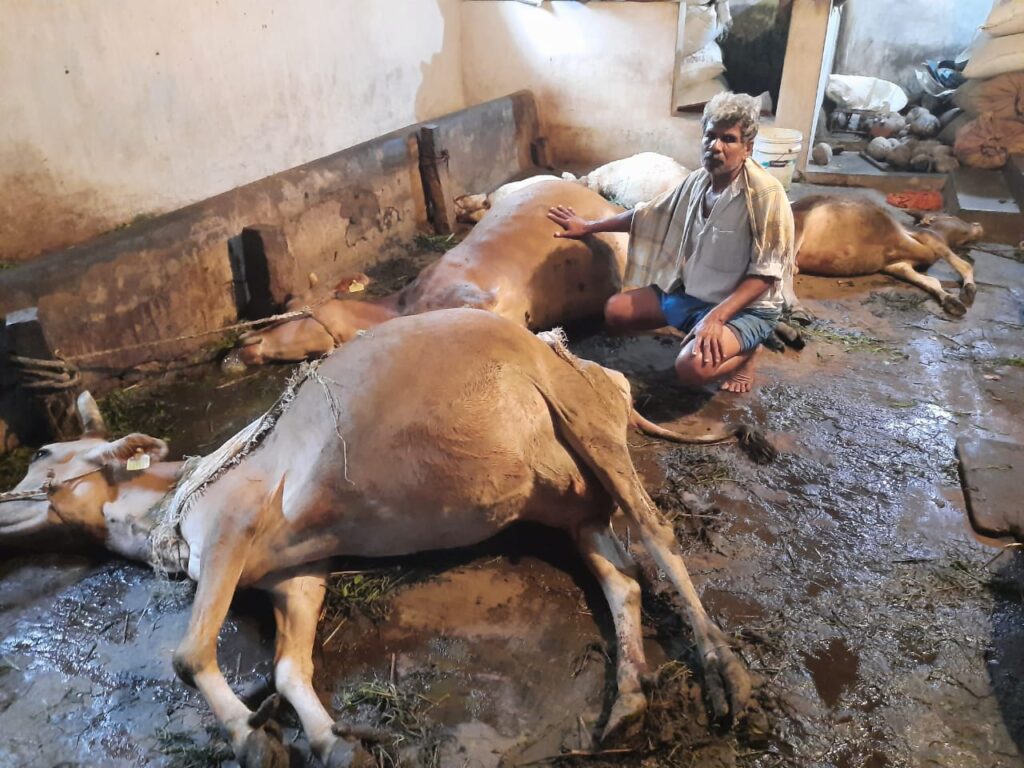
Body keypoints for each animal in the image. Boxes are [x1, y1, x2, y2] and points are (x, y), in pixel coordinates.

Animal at [0, 308, 752, 768]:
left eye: (45, 452)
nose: (3, 501)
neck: (177, 501)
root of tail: (595, 371)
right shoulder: (296, 576)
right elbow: (288, 667)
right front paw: (333, 741)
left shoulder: (230, 533)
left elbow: (189, 656)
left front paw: (252, 738)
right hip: (573, 502)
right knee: (622, 578)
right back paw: (627, 702)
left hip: (587, 428)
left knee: (658, 535)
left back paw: (727, 675)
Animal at [784, 196, 982, 319]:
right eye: (951, 215)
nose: (978, 226)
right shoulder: (926, 237)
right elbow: (964, 264)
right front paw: (968, 290)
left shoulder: (898, 265)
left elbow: (932, 280)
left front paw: (953, 301)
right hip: (795, 229)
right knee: (786, 277)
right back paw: (798, 309)